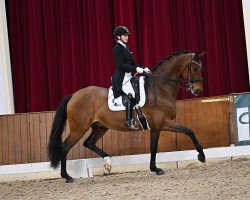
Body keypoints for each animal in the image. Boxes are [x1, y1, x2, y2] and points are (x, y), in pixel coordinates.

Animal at [47, 50, 206, 183]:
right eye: (194, 68)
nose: (198, 90)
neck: (160, 89)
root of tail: (74, 95)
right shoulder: (163, 123)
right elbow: (189, 131)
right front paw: (201, 156)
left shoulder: (156, 127)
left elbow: (153, 147)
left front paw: (155, 169)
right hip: (79, 129)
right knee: (65, 147)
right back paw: (67, 177)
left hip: (100, 127)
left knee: (89, 143)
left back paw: (108, 164)